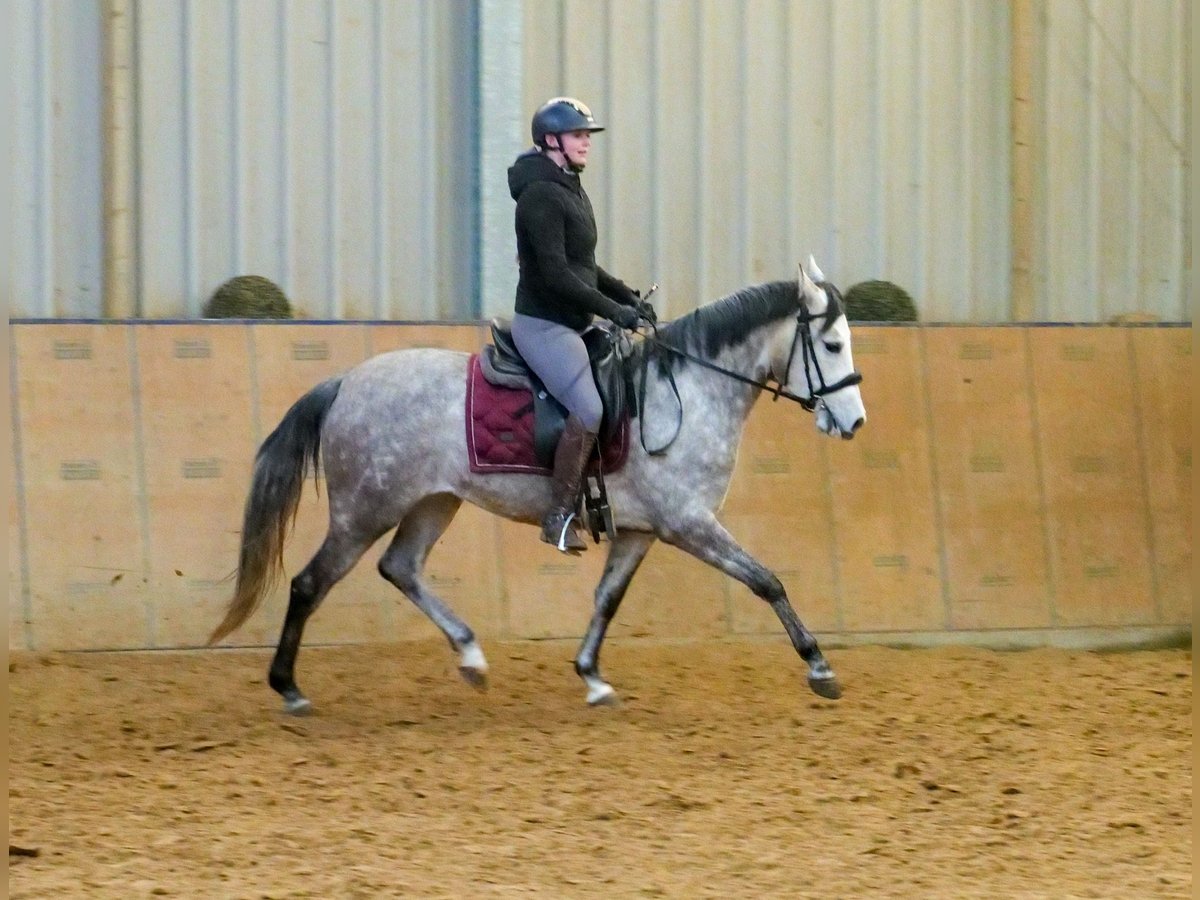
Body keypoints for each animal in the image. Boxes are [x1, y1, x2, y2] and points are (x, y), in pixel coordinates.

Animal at [206, 256, 864, 715]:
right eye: (832, 344)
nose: (853, 423)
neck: (689, 390)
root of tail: (345, 382)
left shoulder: (641, 532)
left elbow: (607, 599)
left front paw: (592, 677)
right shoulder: (689, 524)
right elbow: (766, 581)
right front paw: (819, 668)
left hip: (432, 502)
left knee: (401, 568)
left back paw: (471, 656)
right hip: (366, 508)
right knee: (310, 583)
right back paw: (289, 689)